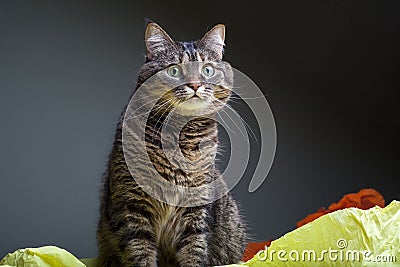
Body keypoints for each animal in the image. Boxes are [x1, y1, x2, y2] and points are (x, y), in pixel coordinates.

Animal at [97, 22, 247, 267]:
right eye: (174, 70)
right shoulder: (131, 205)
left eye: (207, 70)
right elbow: (139, 253)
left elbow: (194, 249)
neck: (179, 136)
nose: (195, 84)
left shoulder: (197, 207)